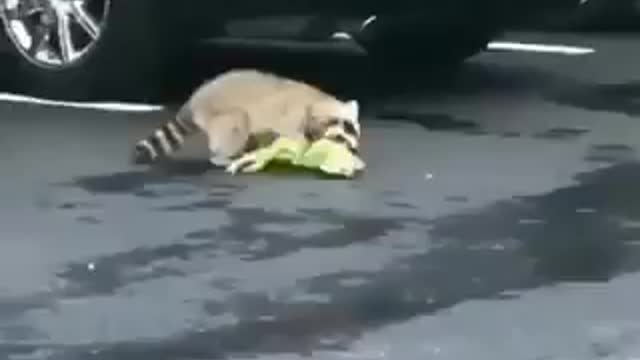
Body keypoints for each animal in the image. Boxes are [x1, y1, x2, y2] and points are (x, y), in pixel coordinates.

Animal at [131, 68, 360, 167]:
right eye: (342, 136)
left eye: (355, 135)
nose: (354, 150)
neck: (318, 102)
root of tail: (194, 100)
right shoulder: (293, 117)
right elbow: (293, 136)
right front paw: (303, 149)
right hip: (218, 113)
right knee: (239, 121)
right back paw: (222, 157)